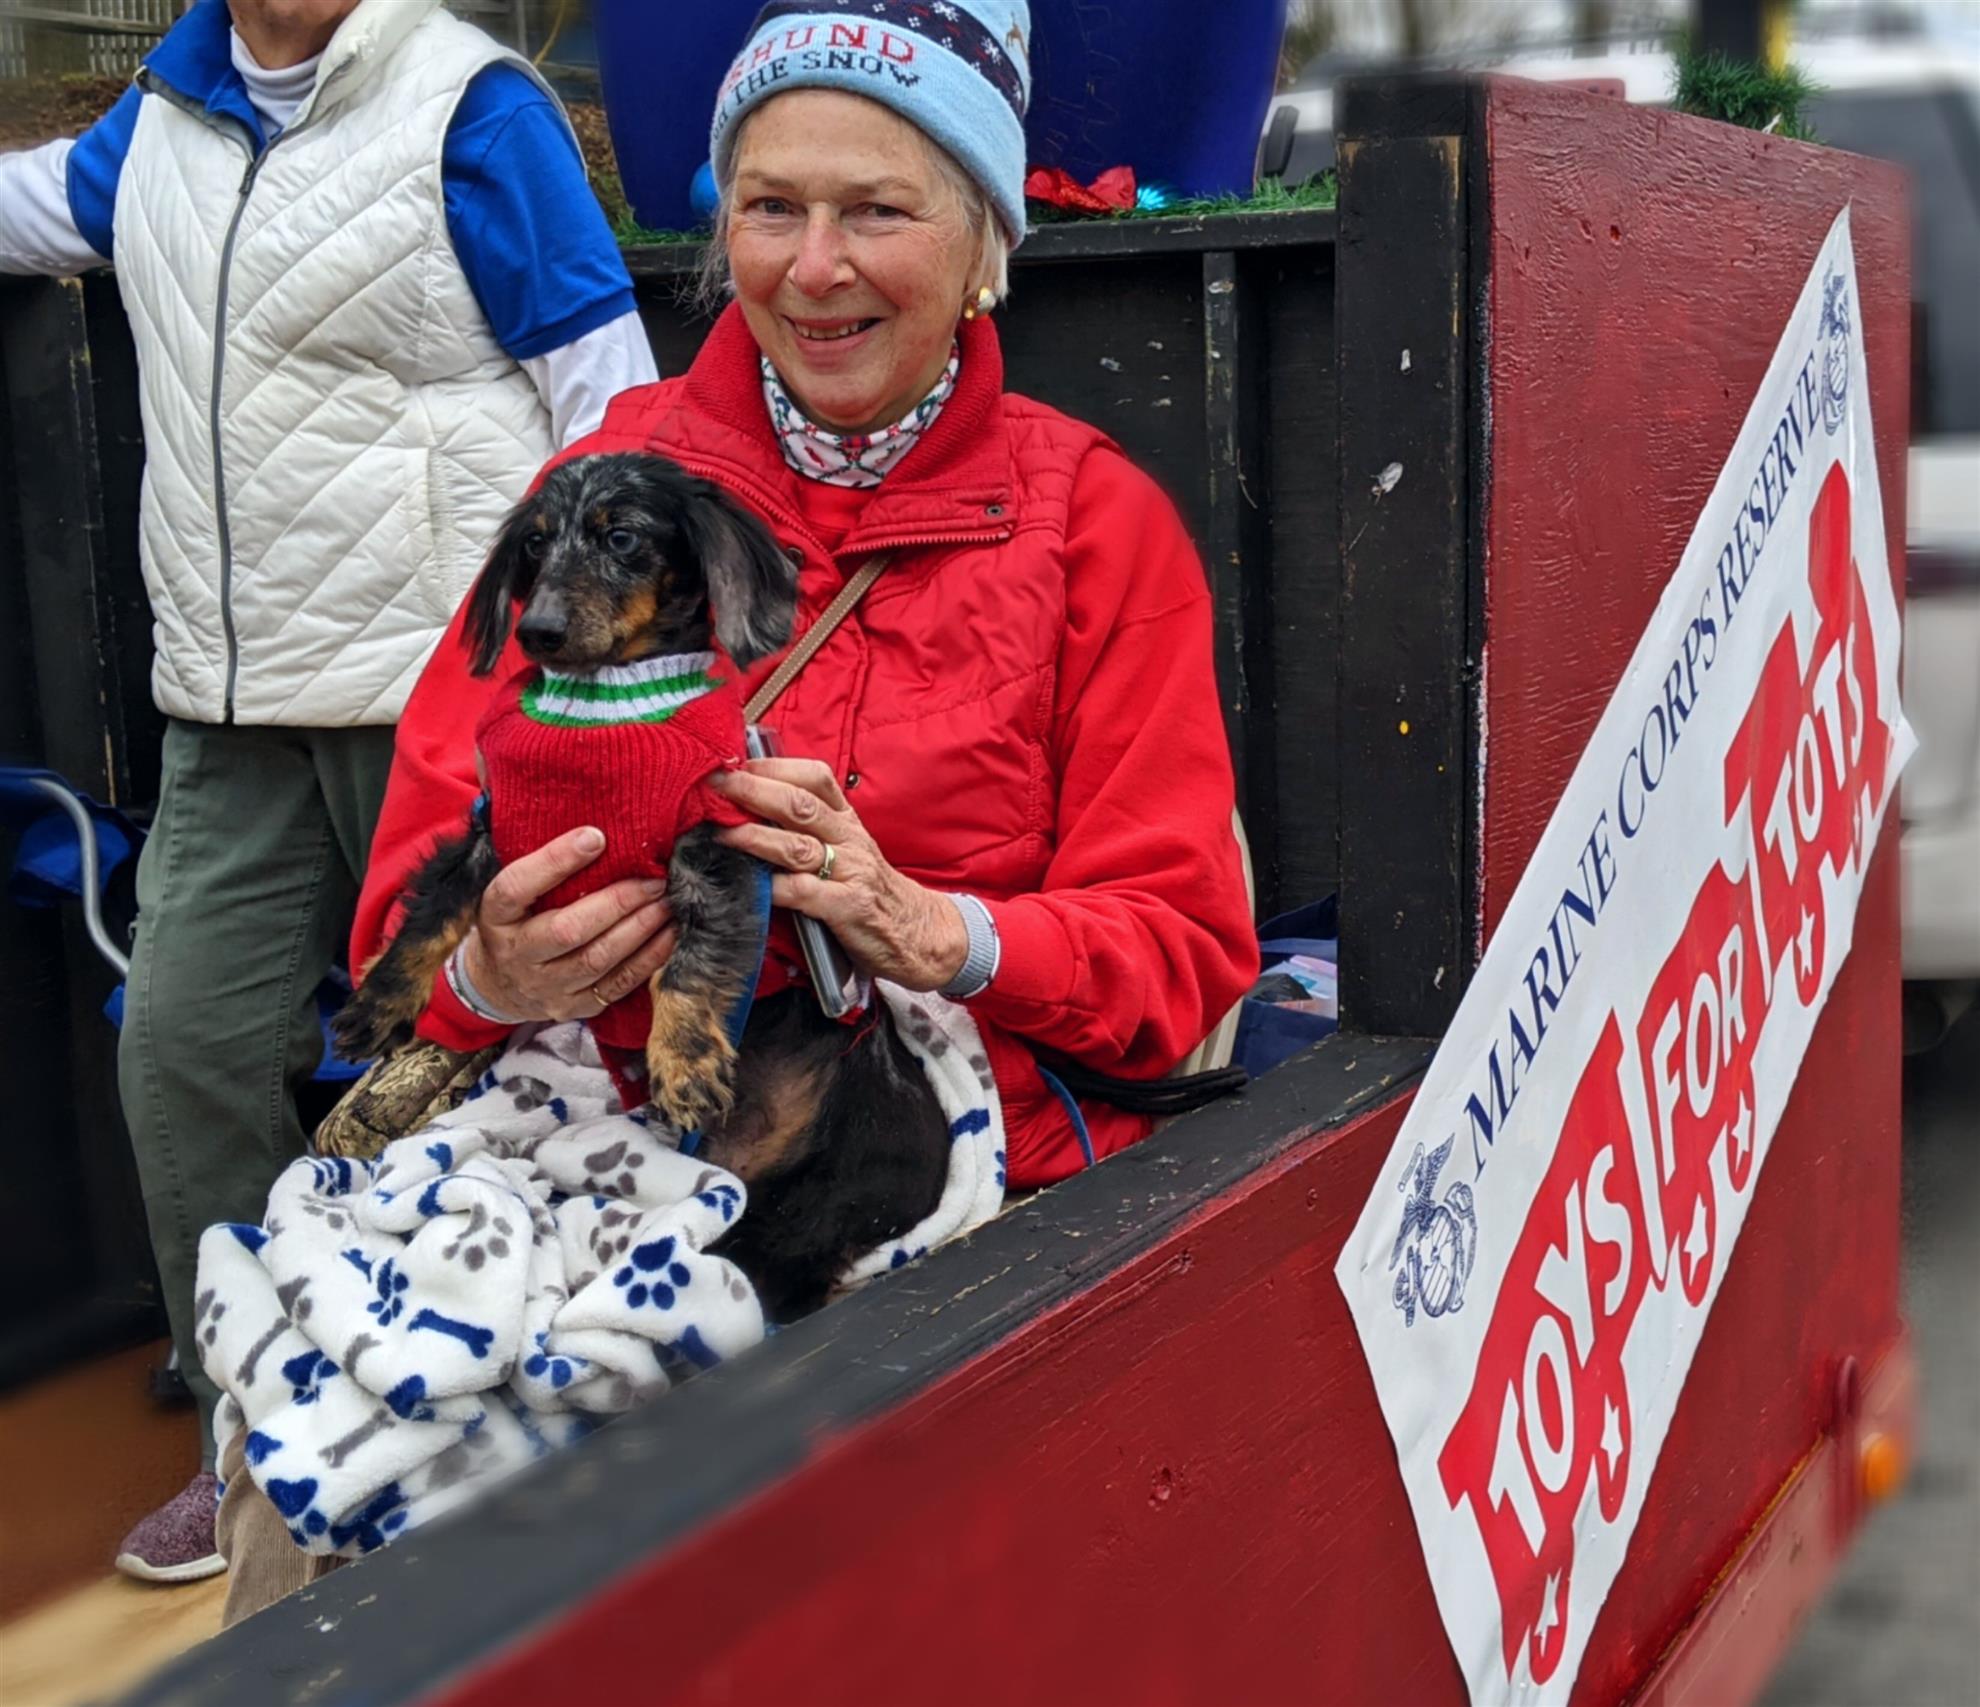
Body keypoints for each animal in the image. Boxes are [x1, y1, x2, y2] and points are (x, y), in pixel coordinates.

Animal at [336, 447, 946, 1314]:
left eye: (620, 536)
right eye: (534, 544)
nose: (538, 631)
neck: (602, 713)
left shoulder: (720, 843)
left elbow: (687, 972)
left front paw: (685, 1065)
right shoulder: (492, 838)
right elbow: (427, 918)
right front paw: (377, 1007)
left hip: (810, 1210)